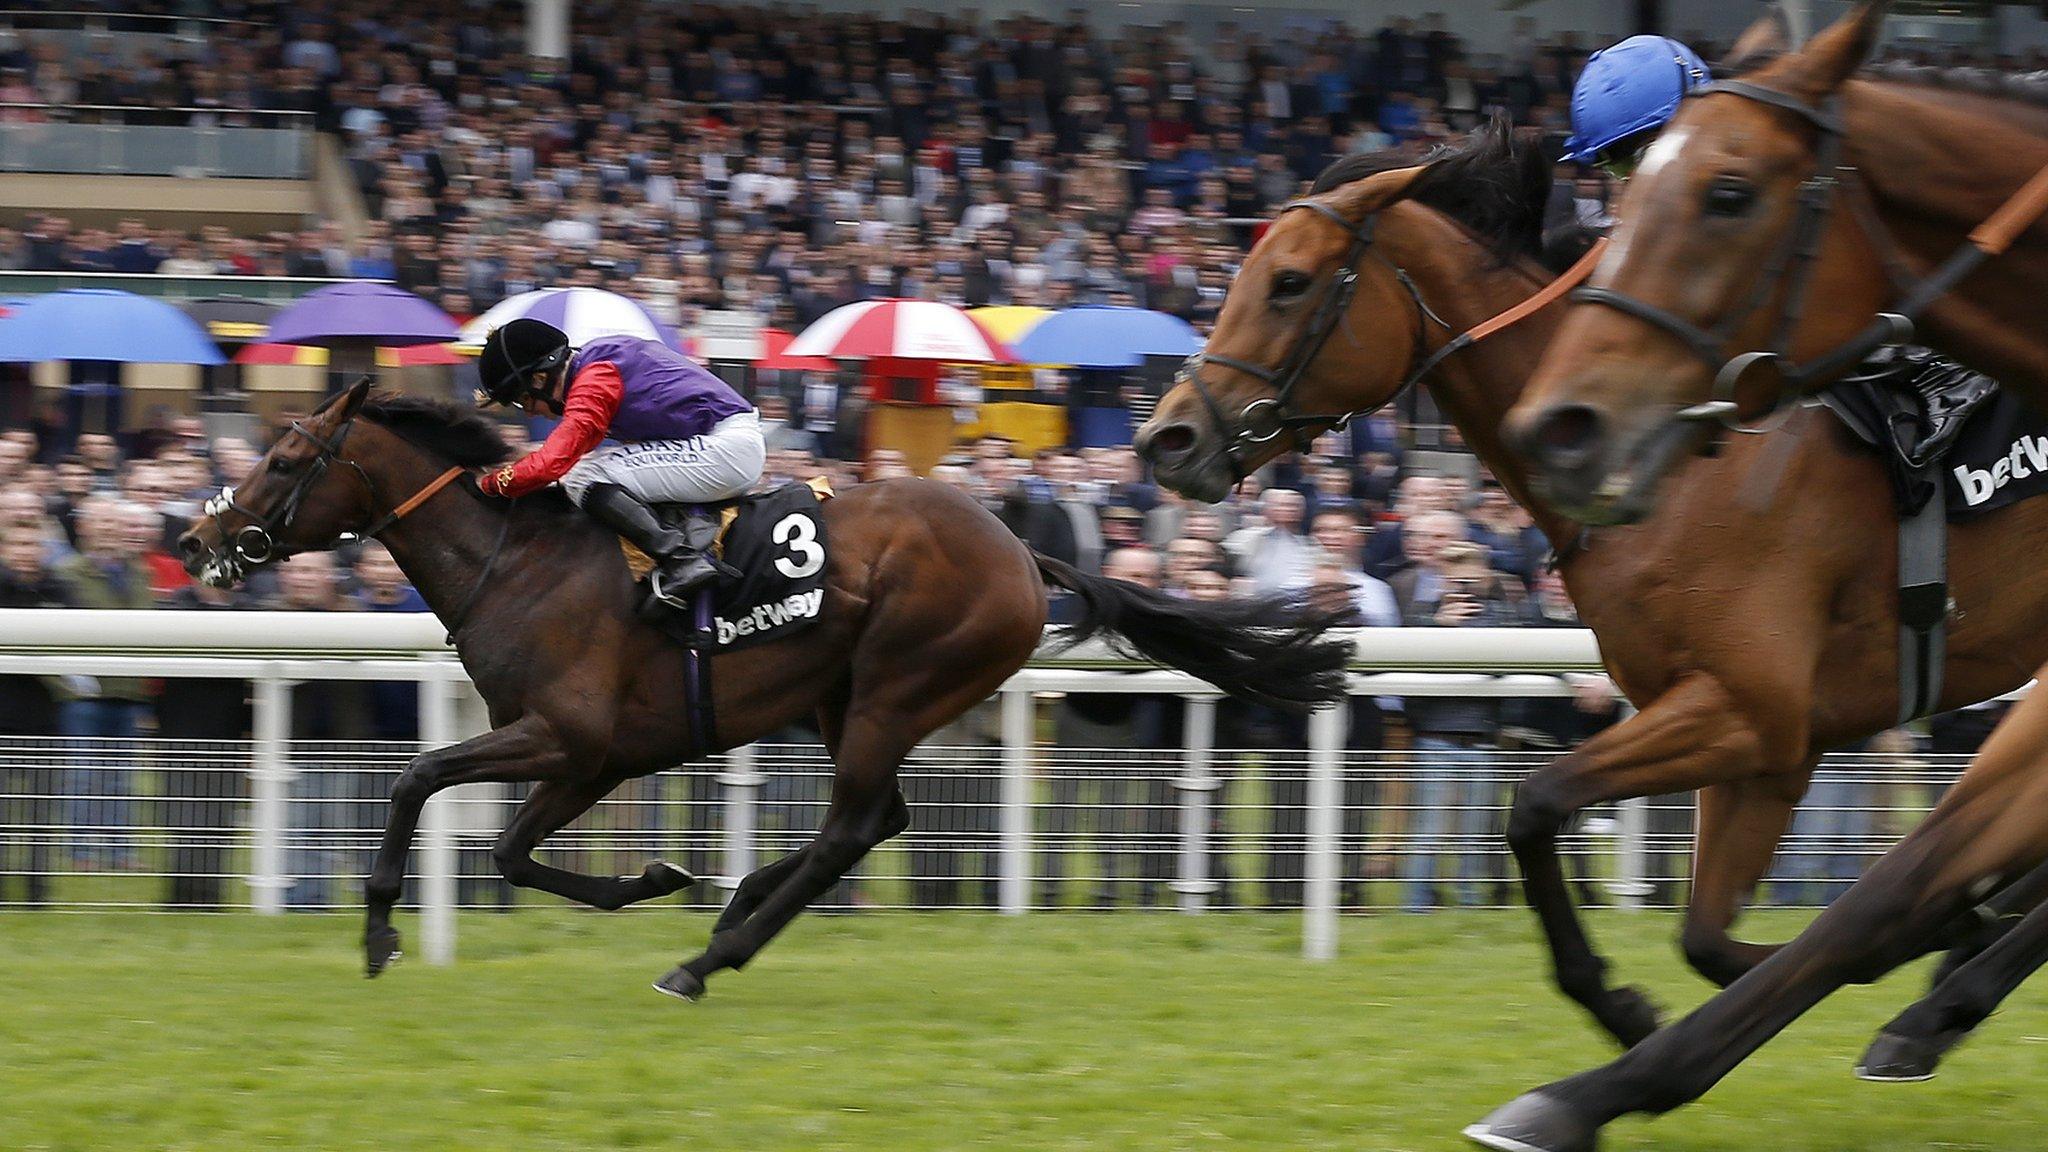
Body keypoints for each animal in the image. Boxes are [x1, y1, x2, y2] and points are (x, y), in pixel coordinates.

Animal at [180, 383, 1359, 996]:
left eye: (283, 458)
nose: (196, 538)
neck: (516, 562)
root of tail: (1026, 553)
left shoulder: (564, 734)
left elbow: (416, 779)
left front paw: (379, 933)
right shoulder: (593, 756)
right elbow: (511, 852)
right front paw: (654, 878)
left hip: (895, 684)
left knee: (850, 828)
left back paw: (712, 955)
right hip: (846, 698)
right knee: (880, 819)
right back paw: (736, 903)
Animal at [1138, 120, 2048, 1057]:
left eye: (1289, 282)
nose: (1166, 438)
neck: (1682, 466)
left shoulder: (1746, 708)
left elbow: (1536, 803)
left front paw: (1620, 1007)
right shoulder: (1772, 743)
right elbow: (1712, 942)